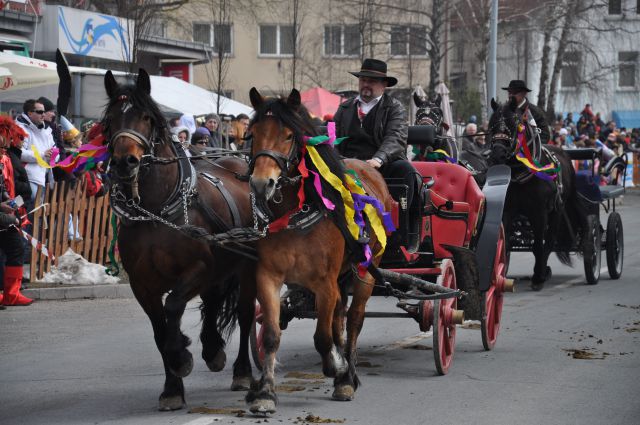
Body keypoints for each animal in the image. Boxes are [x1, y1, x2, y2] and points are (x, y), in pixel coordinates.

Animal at [104, 68, 256, 408]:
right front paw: (172, 388)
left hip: (246, 268)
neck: (156, 211)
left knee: (244, 314)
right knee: (213, 303)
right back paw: (212, 348)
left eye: (146, 117)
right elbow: (160, 331)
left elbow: (173, 307)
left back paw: (241, 370)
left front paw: (182, 357)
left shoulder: (197, 270)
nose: (124, 162)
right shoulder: (142, 285)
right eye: (109, 120)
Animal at [245, 87, 396, 414]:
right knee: (340, 315)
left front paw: (338, 370)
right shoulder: (268, 278)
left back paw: (348, 373)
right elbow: (272, 335)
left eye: (289, 135)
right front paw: (265, 392)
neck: (296, 216)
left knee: (353, 319)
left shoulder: (324, 284)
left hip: (366, 269)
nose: (262, 184)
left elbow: (322, 337)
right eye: (252, 134)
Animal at [484, 99, 584, 290]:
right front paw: (502, 275)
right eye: (492, 125)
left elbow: (538, 246)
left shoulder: (539, 213)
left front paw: (538, 277)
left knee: (549, 241)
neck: (522, 175)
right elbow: (505, 244)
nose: (497, 154)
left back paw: (543, 271)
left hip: (557, 211)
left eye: (512, 124)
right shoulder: (507, 211)